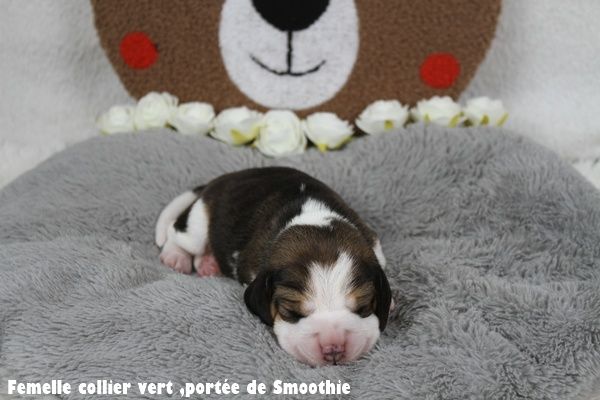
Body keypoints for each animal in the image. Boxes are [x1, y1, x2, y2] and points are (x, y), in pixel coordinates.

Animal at [155, 167, 392, 366]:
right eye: (290, 311)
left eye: (363, 307)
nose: (333, 349)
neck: (314, 220)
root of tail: (221, 179)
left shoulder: (372, 243)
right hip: (196, 227)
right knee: (176, 233)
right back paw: (175, 257)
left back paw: (208, 264)